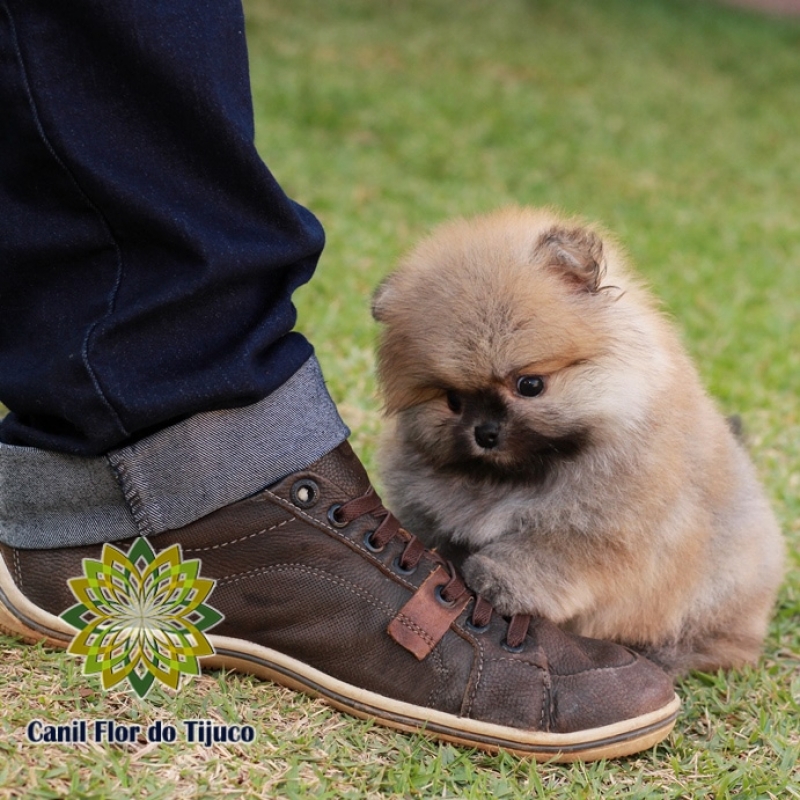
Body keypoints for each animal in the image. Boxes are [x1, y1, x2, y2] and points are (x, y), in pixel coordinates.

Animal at [372, 206, 784, 676]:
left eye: (529, 384)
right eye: (453, 401)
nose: (486, 433)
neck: (517, 477)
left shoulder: (598, 531)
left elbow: (544, 553)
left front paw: (496, 579)